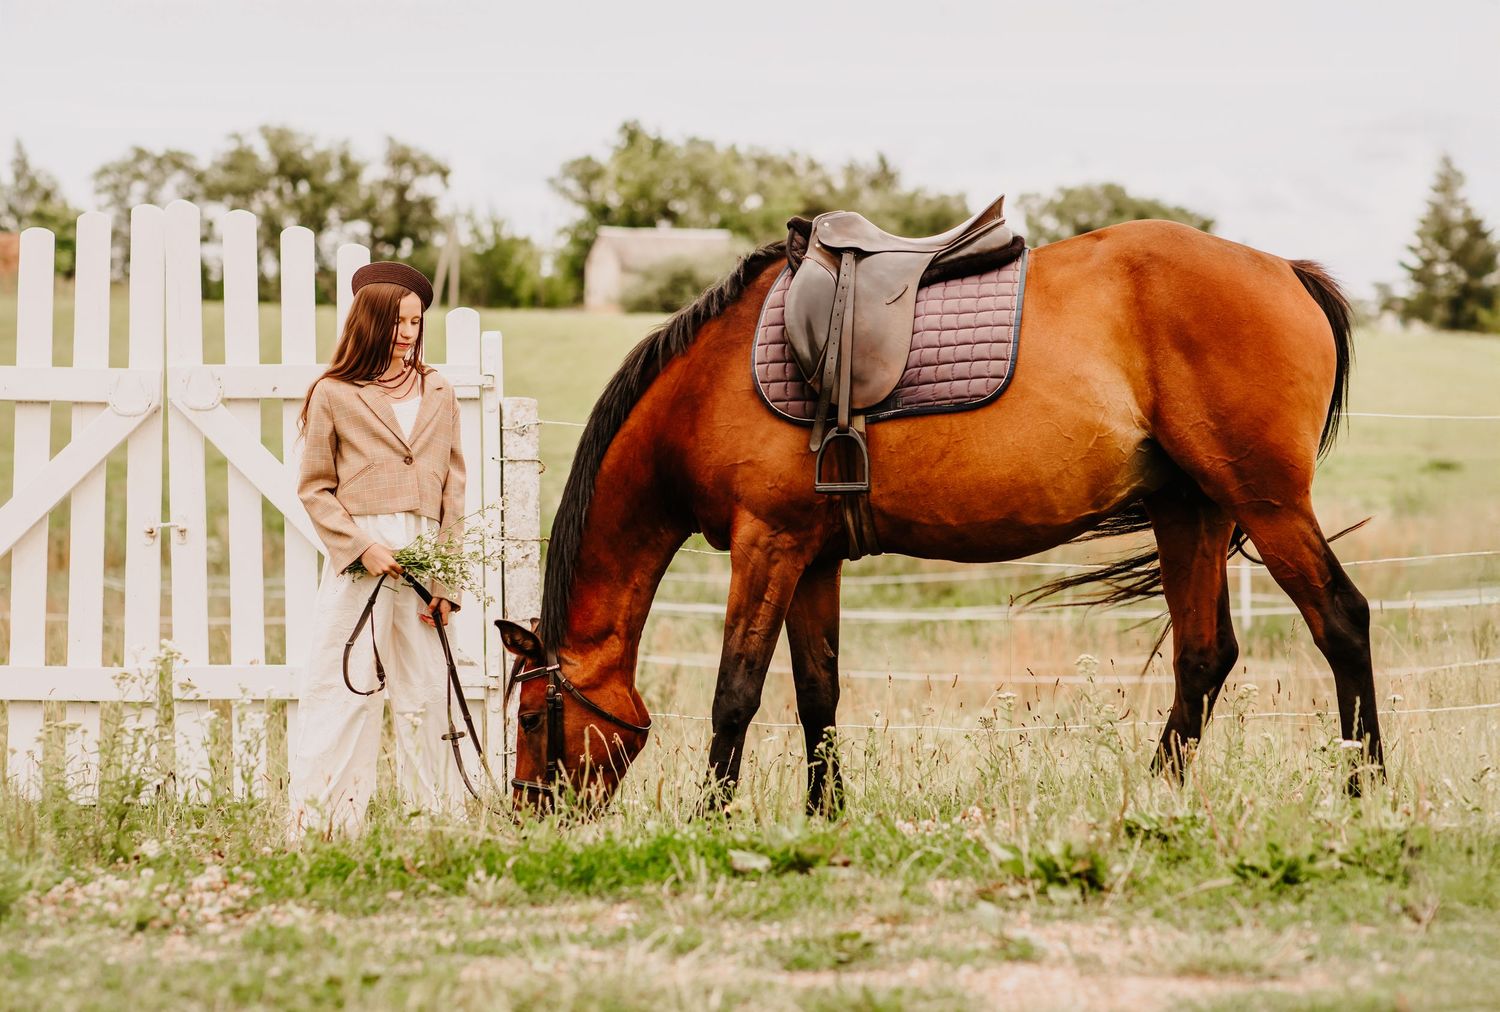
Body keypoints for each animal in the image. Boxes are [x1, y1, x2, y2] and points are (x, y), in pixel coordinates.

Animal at [496, 218, 1377, 812]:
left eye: (534, 717)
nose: (528, 815)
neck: (706, 385)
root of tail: (1286, 269)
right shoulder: (811, 556)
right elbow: (818, 693)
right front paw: (826, 815)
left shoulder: (766, 544)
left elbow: (735, 693)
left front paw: (710, 819)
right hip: (1189, 508)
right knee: (1203, 654)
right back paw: (1156, 797)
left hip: (1264, 502)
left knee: (1342, 620)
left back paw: (1364, 788)